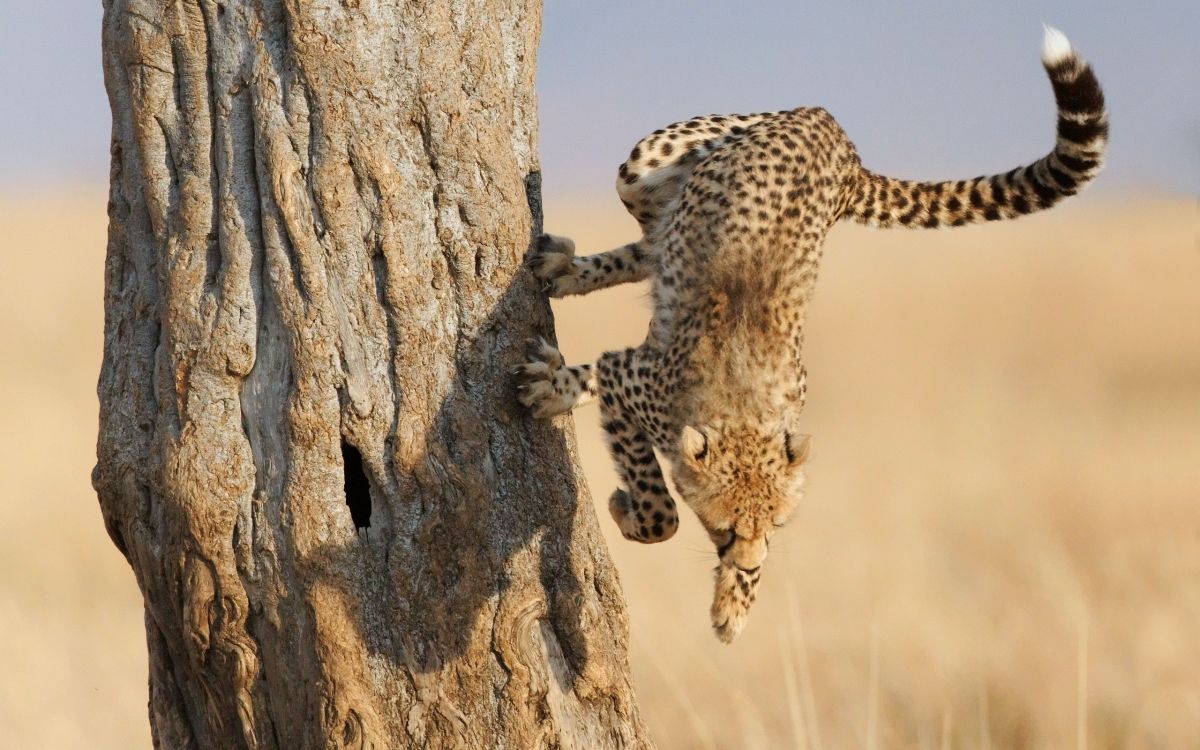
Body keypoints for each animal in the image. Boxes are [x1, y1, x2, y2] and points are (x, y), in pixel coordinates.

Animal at [514, 27, 1108, 643]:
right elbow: (660, 509)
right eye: (725, 528)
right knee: (651, 235)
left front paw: (734, 605)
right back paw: (565, 280)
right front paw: (626, 501)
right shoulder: (630, 378)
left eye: (774, 525)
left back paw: (565, 278)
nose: (749, 561)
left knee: (654, 244)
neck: (742, 409)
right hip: (648, 158)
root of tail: (838, 136)